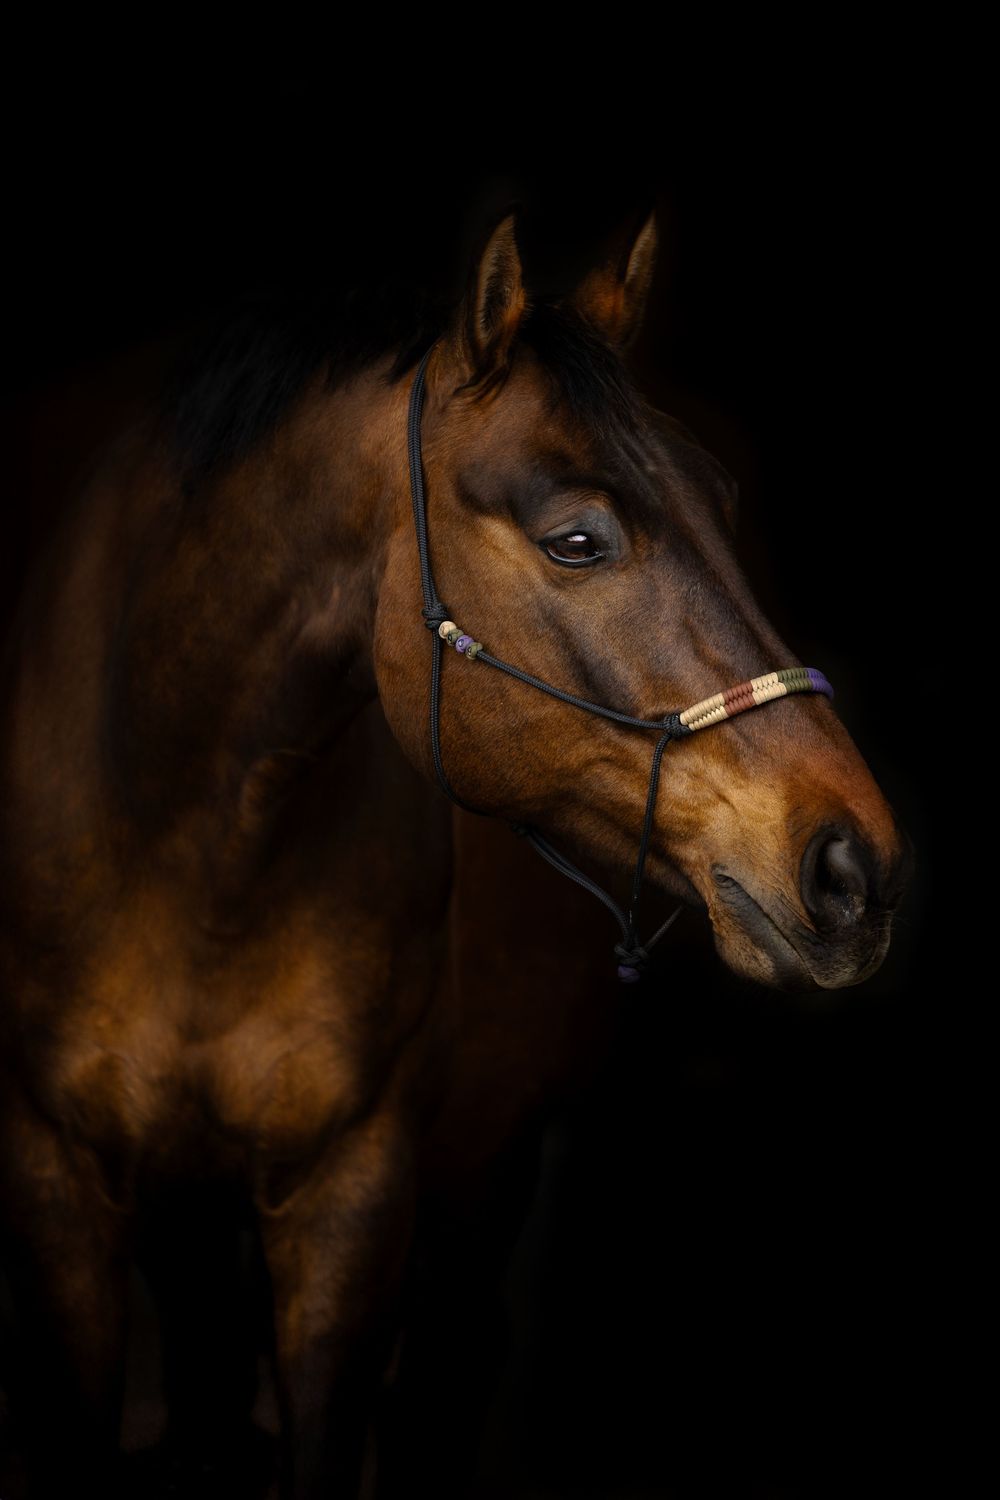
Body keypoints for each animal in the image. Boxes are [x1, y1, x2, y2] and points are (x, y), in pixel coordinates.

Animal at [0, 206, 907, 1498]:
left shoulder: (355, 1199)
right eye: (575, 538)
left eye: (724, 498)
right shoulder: (55, 1185)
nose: (852, 864)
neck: (190, 847)